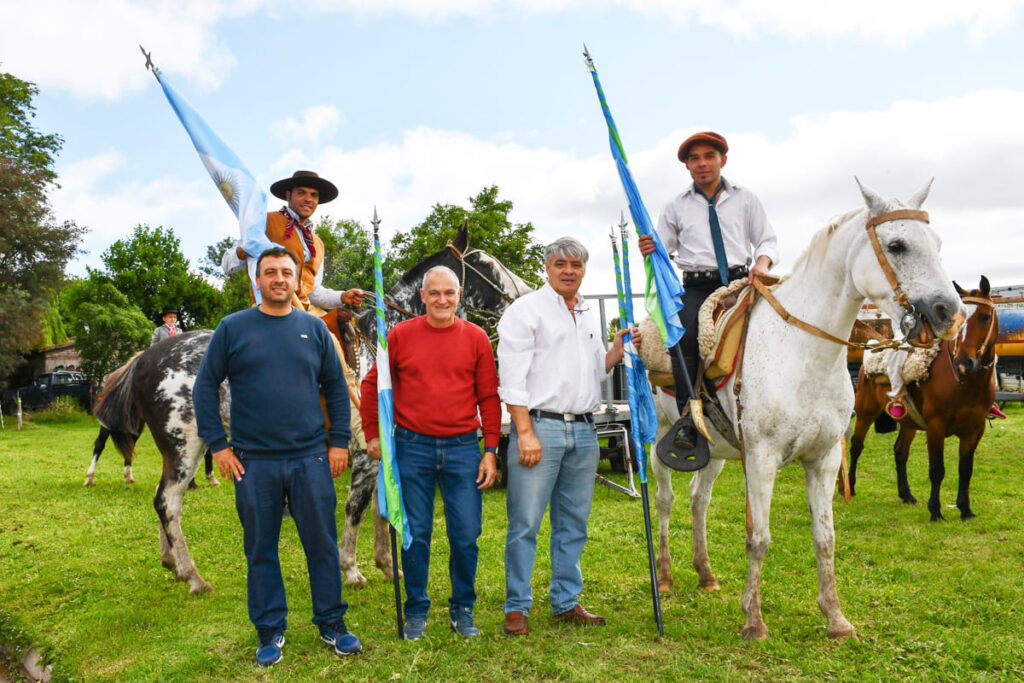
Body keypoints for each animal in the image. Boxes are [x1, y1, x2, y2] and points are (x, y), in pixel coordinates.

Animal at [643, 180, 962, 643]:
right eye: (897, 245)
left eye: (937, 243)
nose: (949, 313)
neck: (801, 351)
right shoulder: (762, 459)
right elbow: (759, 539)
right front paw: (754, 621)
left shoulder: (825, 458)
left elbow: (825, 538)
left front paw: (836, 618)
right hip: (660, 438)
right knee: (665, 500)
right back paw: (665, 576)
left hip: (715, 451)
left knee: (698, 499)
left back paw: (705, 574)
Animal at [847, 274, 999, 520]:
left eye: (985, 317)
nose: (964, 363)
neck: (965, 384)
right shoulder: (936, 427)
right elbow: (937, 470)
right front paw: (935, 510)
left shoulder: (975, 429)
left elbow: (965, 470)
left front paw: (965, 509)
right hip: (865, 413)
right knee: (856, 446)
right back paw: (850, 486)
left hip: (909, 422)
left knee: (900, 452)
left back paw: (906, 494)